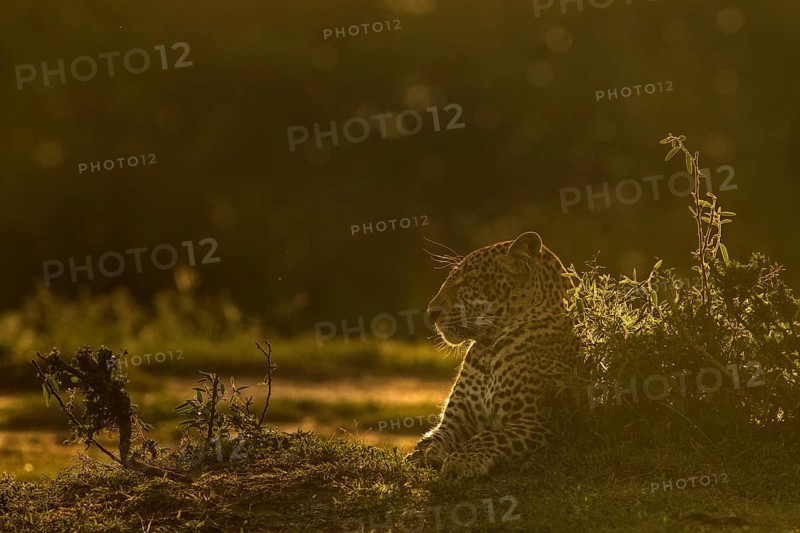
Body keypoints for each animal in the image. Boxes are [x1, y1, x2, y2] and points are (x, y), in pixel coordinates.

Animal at [406, 231, 580, 479]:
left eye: (468, 282)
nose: (431, 313)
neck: (487, 352)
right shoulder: (455, 420)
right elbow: (436, 435)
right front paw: (421, 453)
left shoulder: (539, 422)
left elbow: (489, 436)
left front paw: (461, 460)